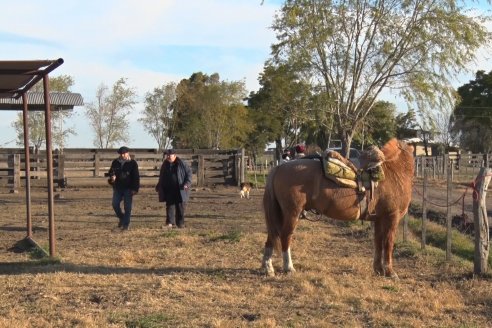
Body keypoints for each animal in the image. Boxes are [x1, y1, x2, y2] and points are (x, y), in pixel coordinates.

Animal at [264, 137, 414, 278]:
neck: (394, 173)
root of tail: (279, 168)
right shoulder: (392, 217)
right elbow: (388, 243)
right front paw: (390, 272)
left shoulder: (378, 219)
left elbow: (378, 242)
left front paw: (379, 269)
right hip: (292, 213)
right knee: (285, 236)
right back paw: (288, 267)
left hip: (280, 213)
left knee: (272, 235)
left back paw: (268, 268)